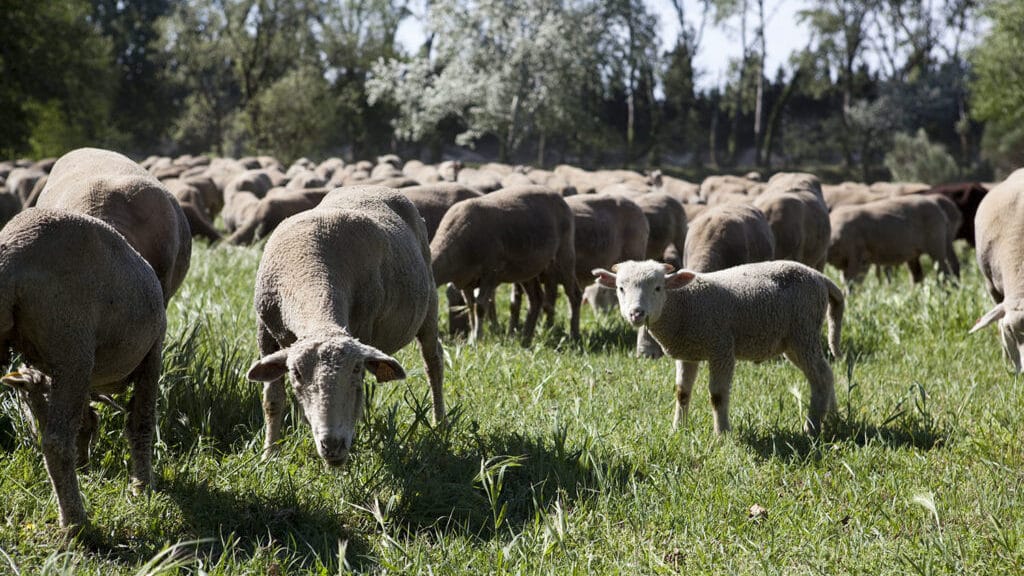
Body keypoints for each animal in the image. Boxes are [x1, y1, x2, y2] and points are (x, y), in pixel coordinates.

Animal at [0, 208, 166, 531]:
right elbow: (141, 423)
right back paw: (76, 523)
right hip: (73, 345)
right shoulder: (153, 352)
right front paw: (142, 487)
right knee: (55, 442)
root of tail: (12, 257)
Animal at [245, 186, 444, 464]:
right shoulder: (264, 332)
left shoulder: (363, 328)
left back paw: (440, 423)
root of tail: (371, 186)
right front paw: (269, 454)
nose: (333, 445)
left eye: (356, 369)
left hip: (429, 305)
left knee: (433, 360)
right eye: (297, 374)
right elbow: (272, 400)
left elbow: (356, 403)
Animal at [431, 185, 581, 346]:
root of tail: (557, 195)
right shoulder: (466, 281)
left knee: (574, 295)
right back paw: (525, 339)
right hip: (526, 268)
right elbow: (470, 307)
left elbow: (480, 307)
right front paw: (471, 339)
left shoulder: (490, 272)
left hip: (564, 255)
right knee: (536, 299)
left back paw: (574, 336)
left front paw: (477, 339)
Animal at [592, 259, 843, 435]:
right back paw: (831, 417)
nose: (636, 313)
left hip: (803, 331)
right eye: (620, 288)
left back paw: (811, 427)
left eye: (658, 288)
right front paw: (678, 429)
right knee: (827, 373)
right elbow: (682, 393)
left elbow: (718, 395)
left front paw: (722, 434)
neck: (683, 305)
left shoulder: (721, 347)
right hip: (793, 340)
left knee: (821, 377)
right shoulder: (688, 353)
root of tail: (820, 277)